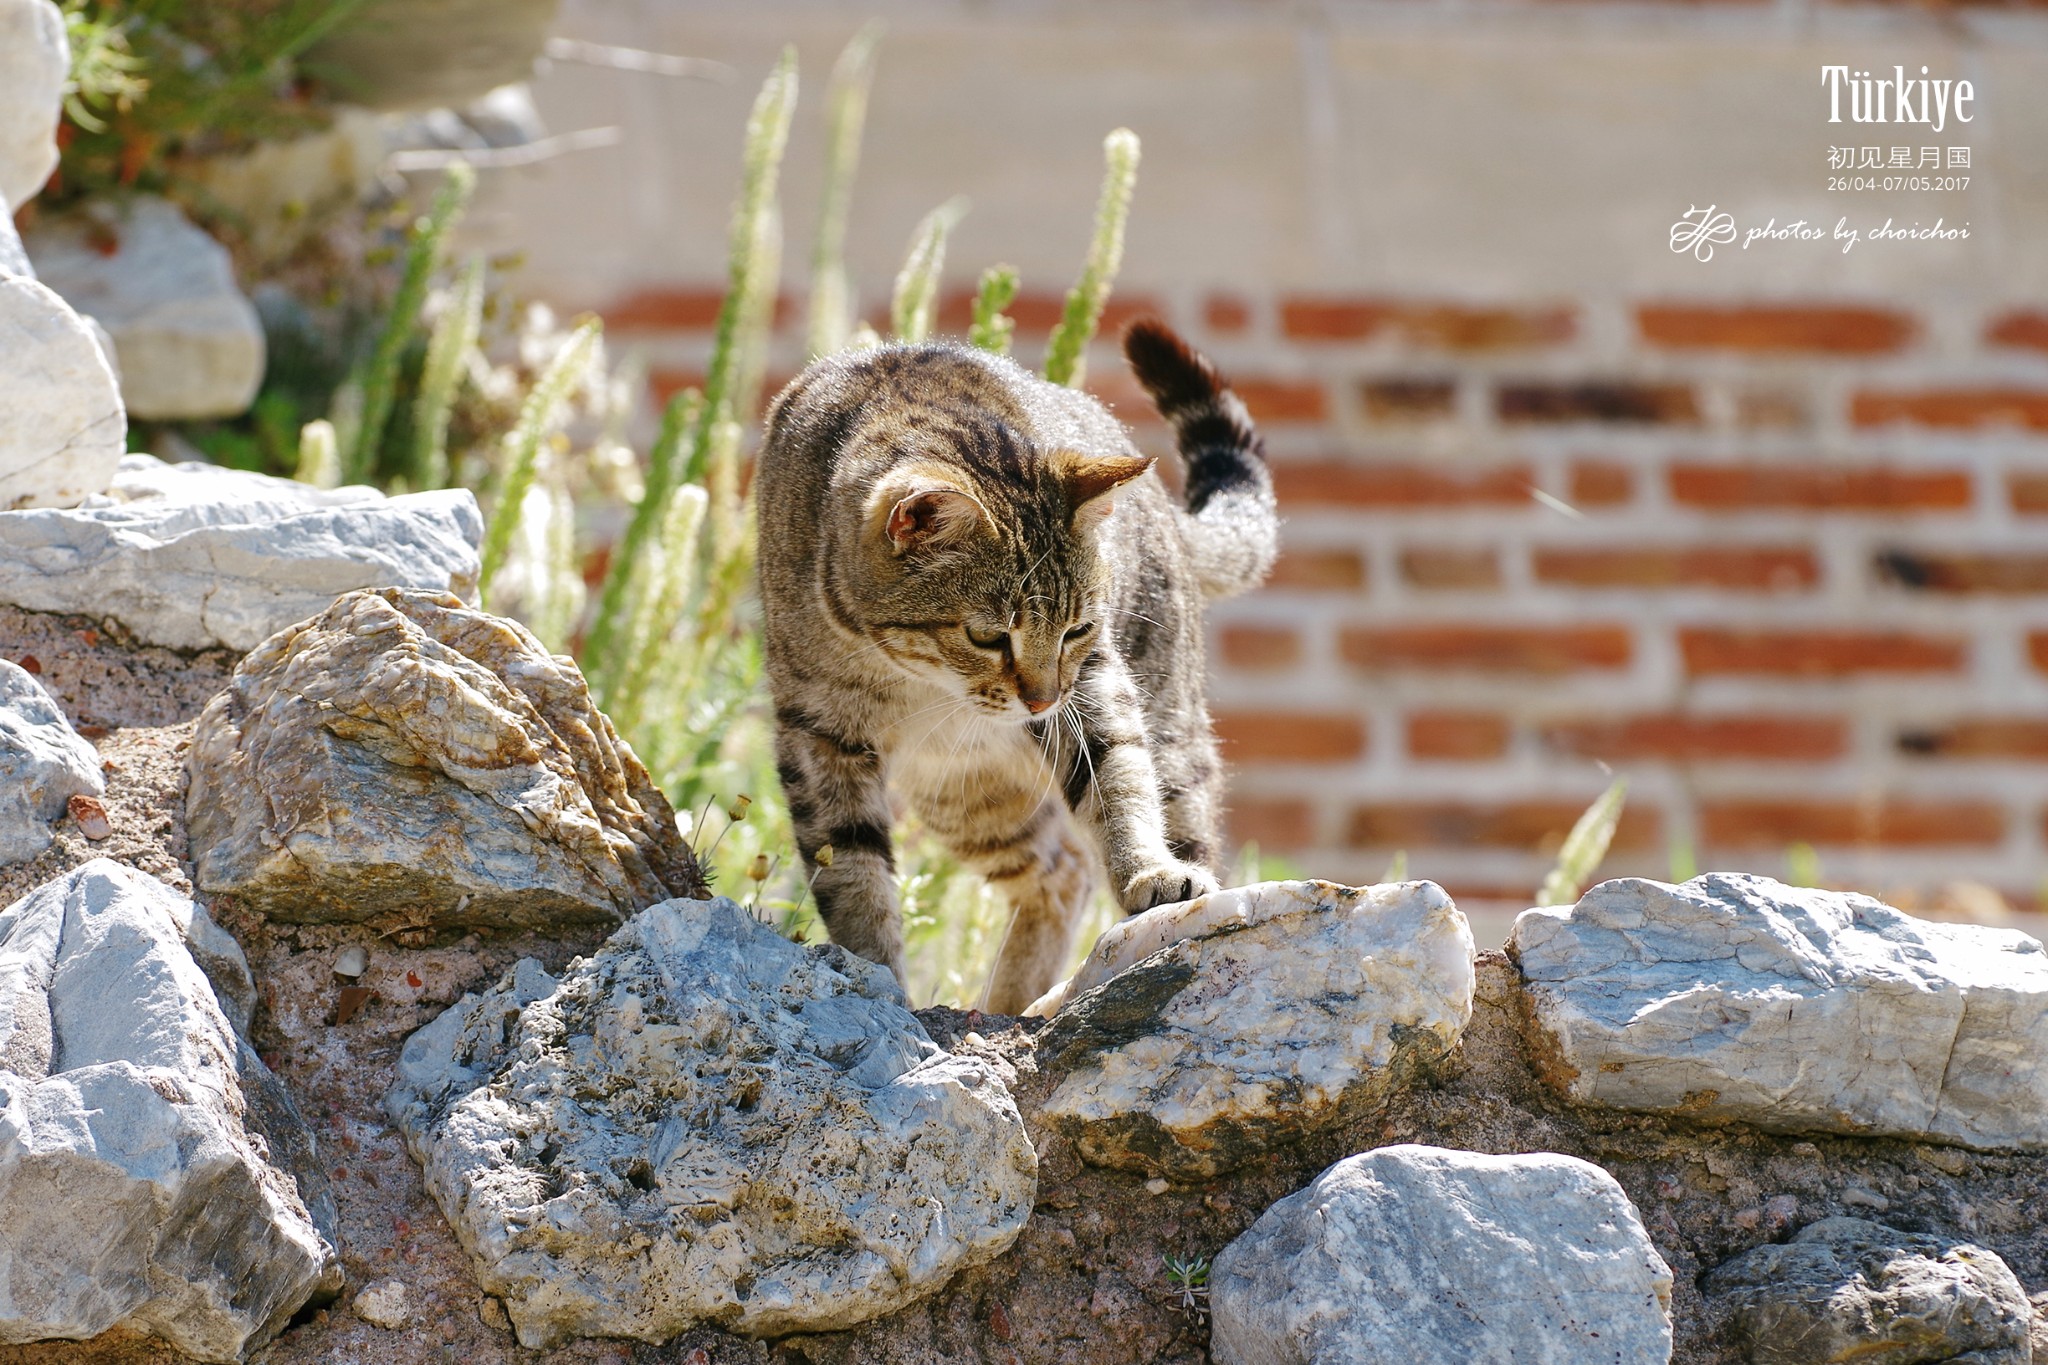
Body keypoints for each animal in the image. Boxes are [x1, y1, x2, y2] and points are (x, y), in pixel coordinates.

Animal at [761, 315, 1269, 1010]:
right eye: (988, 637)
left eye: (1077, 629)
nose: (1041, 700)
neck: (913, 677)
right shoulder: (818, 732)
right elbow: (850, 865)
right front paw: (875, 977)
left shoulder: (1095, 683)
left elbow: (1118, 778)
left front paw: (1149, 871)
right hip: (964, 791)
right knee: (1060, 870)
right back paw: (1009, 998)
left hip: (1165, 725)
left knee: (1149, 828)